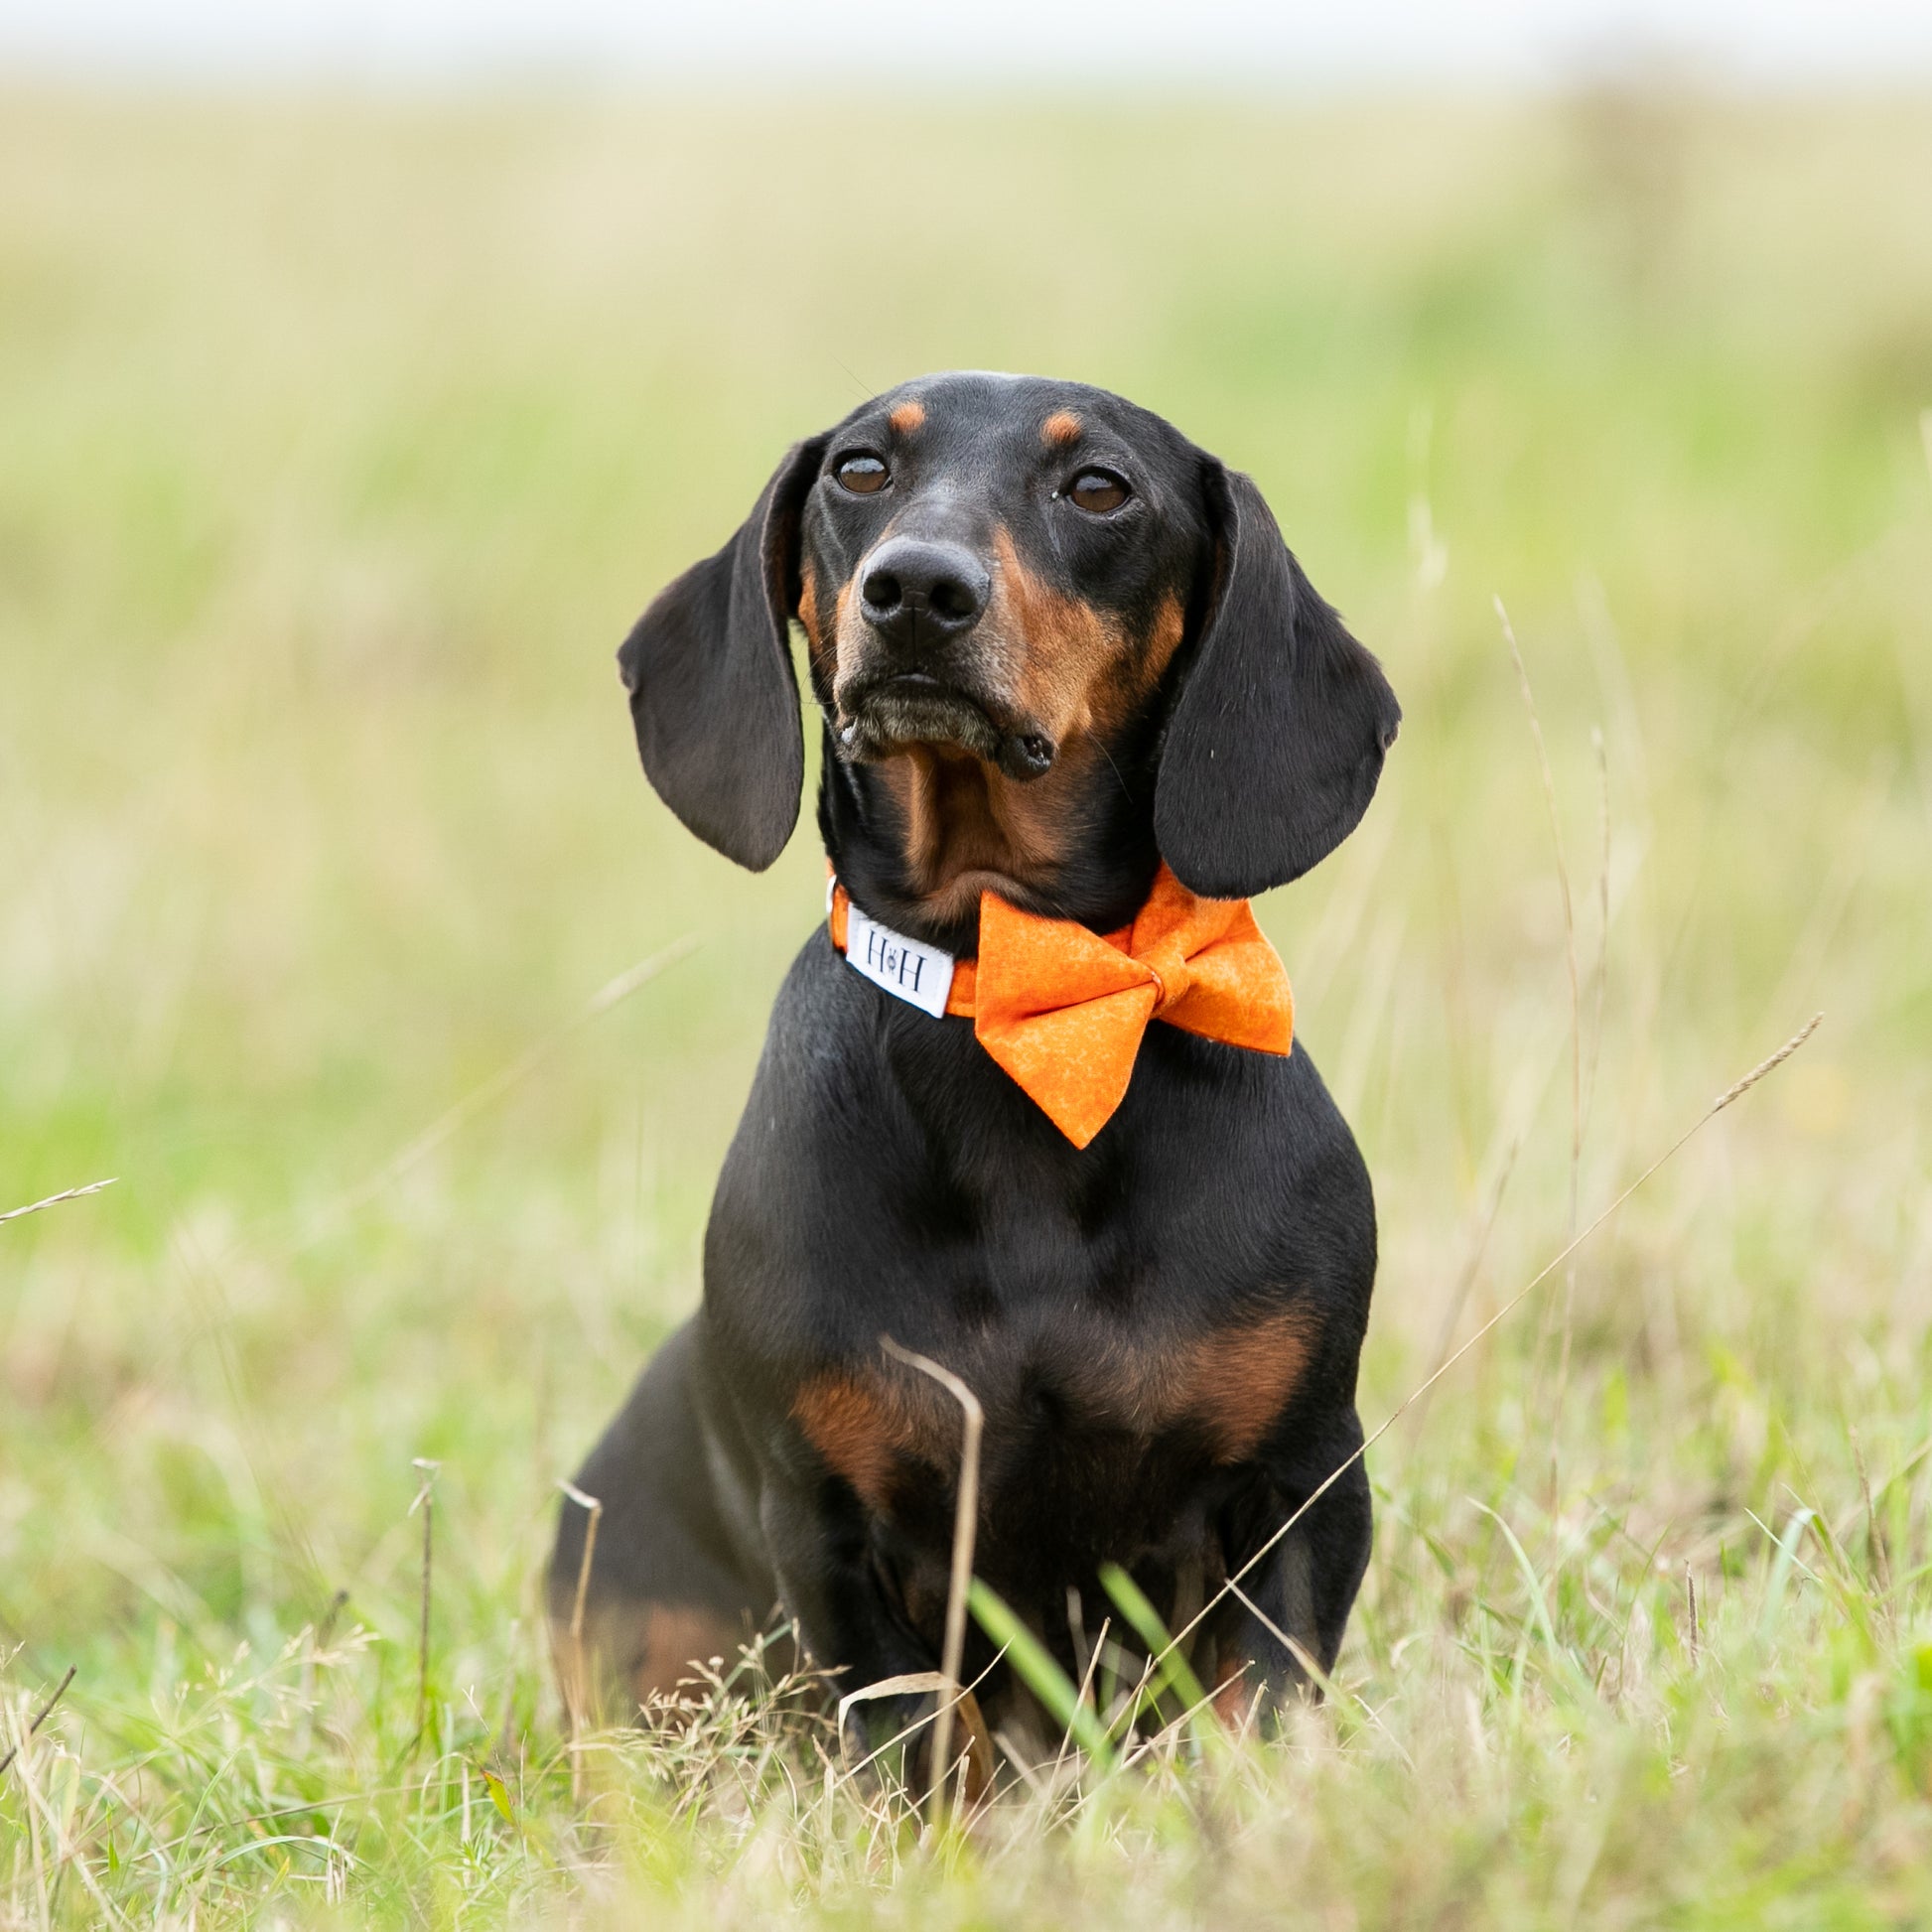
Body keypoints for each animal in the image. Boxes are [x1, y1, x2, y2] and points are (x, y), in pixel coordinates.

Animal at [552, 364, 1398, 1769]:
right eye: (858, 469)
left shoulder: (1301, 1486)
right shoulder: (832, 1526)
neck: (1021, 1004)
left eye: (1098, 486)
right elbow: (921, 1756)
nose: (915, 590)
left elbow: (1258, 1709)